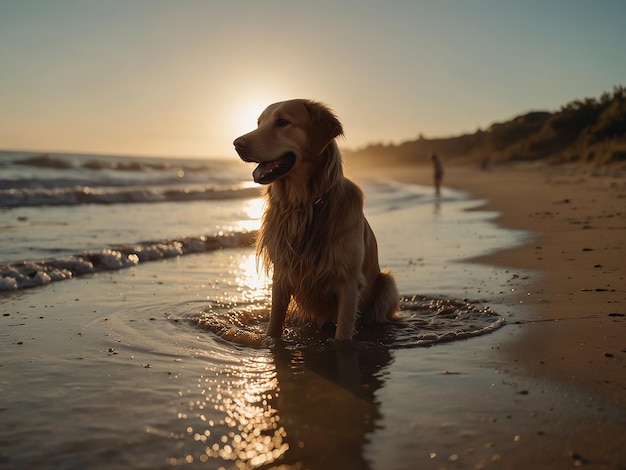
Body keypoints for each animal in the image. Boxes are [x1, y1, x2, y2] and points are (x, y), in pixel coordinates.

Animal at [232, 100, 398, 342]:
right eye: (259, 123)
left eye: (282, 122)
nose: (236, 144)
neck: (306, 205)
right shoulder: (282, 275)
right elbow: (274, 325)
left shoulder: (348, 282)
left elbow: (343, 334)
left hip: (387, 283)